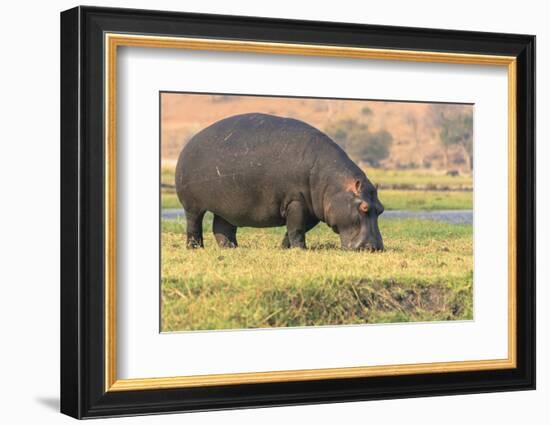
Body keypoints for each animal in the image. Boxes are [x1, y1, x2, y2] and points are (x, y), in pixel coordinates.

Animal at [176, 113, 384, 252]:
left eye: (381, 209)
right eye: (364, 207)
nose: (375, 248)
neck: (334, 185)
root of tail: (189, 142)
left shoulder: (311, 210)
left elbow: (296, 229)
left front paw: (285, 248)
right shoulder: (296, 202)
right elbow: (296, 228)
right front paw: (301, 250)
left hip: (227, 207)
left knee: (222, 227)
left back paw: (231, 248)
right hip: (192, 205)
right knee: (194, 225)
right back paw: (195, 248)